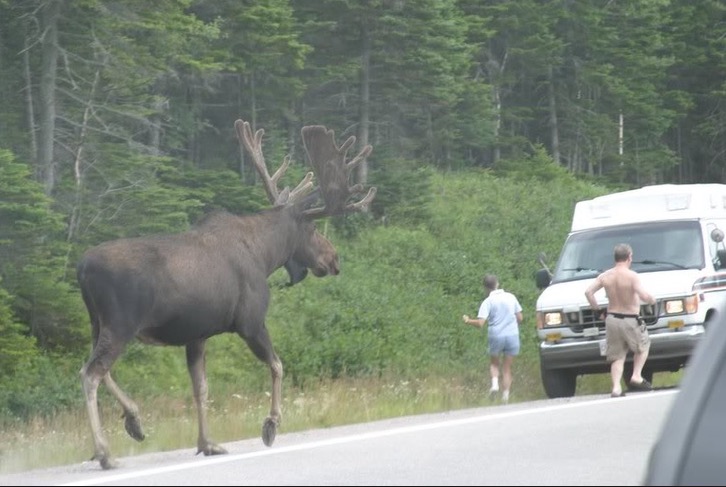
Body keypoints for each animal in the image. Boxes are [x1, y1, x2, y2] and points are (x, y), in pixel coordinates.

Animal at [77, 118, 378, 468]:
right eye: (314, 229)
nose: (334, 259)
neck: (265, 255)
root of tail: (81, 267)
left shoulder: (196, 335)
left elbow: (201, 388)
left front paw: (207, 442)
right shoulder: (251, 322)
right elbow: (278, 365)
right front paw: (271, 424)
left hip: (97, 323)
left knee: (96, 369)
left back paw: (134, 420)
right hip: (120, 324)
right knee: (90, 373)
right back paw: (104, 451)